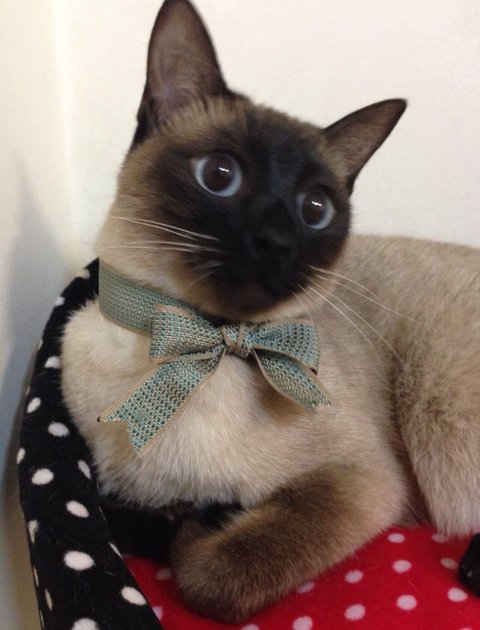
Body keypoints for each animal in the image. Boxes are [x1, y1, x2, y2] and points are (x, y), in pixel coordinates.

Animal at [61, 0, 480, 623]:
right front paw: (196, 515)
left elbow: (213, 577)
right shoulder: (117, 494)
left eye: (315, 209)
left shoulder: (362, 481)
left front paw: (206, 525)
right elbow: (140, 524)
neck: (210, 345)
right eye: (219, 176)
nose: (278, 241)